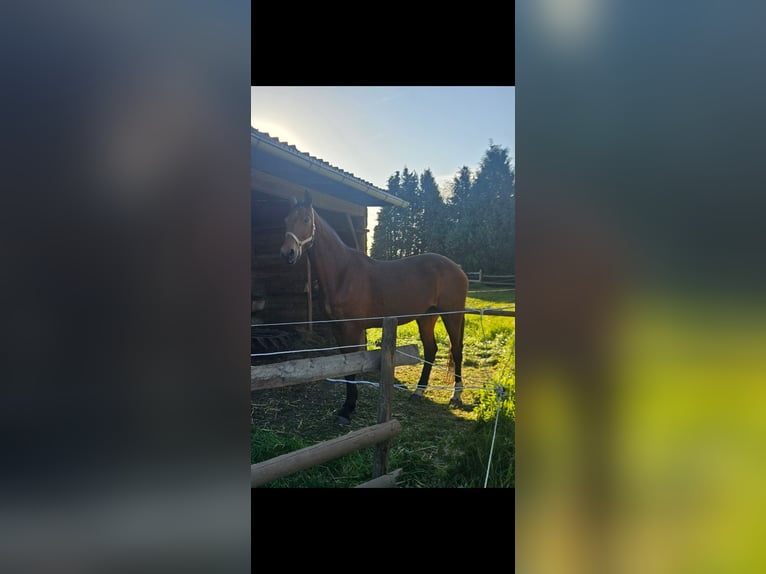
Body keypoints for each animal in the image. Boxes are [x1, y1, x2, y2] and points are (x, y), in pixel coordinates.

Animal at [280, 192, 469, 425]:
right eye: (286, 220)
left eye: (306, 219)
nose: (287, 253)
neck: (342, 273)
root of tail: (456, 268)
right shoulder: (338, 329)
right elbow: (346, 367)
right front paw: (347, 407)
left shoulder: (351, 329)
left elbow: (351, 368)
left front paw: (347, 410)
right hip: (426, 317)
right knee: (431, 349)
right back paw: (418, 392)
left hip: (452, 315)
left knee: (457, 349)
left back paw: (456, 395)